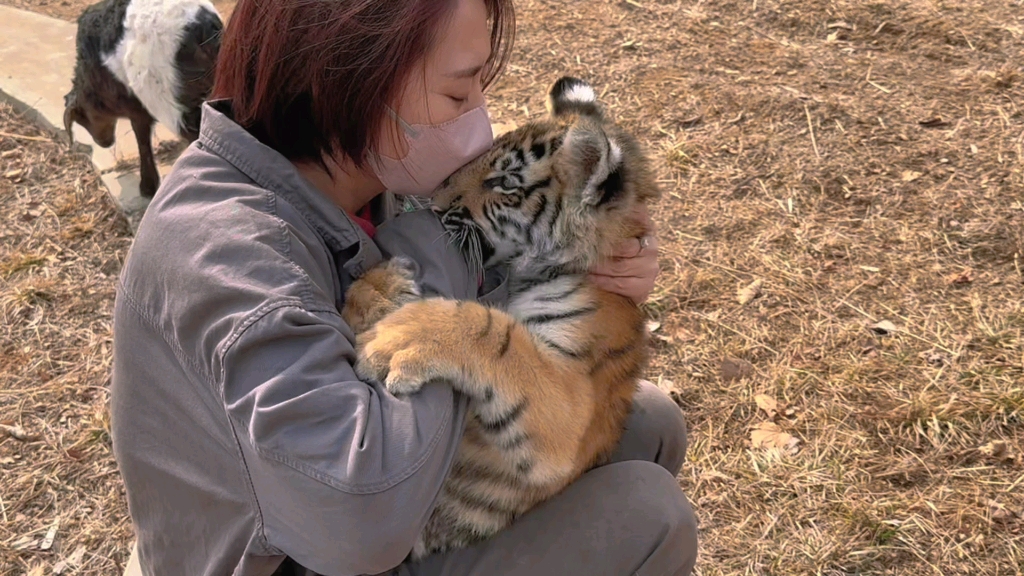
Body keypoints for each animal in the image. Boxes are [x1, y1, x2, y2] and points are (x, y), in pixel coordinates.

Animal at [65, 0, 224, 196]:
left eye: (83, 117)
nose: (104, 143)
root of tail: (201, 27)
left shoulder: (135, 106)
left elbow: (141, 136)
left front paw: (148, 186)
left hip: (171, 99)